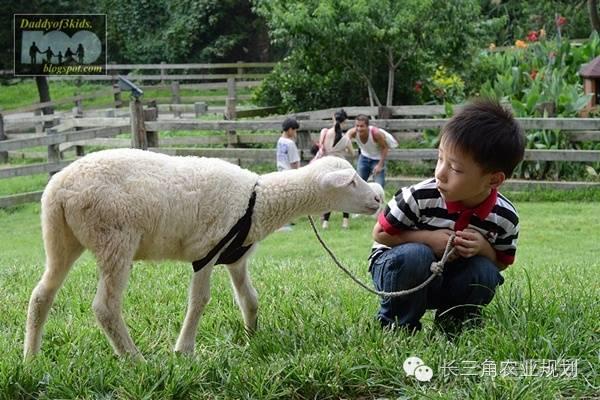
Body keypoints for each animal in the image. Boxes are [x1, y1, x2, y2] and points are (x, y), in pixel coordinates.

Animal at [24, 148, 380, 358]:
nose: (378, 199)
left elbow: (249, 298)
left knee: (42, 294)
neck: (260, 202)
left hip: (60, 236)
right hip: (114, 238)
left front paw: (253, 336)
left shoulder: (235, 258)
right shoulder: (207, 250)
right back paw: (135, 360)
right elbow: (200, 301)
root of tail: (59, 187)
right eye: (350, 182)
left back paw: (31, 358)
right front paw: (184, 351)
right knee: (105, 307)